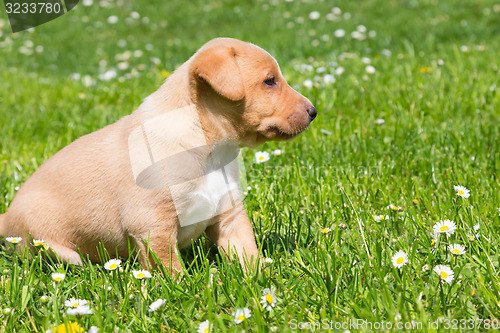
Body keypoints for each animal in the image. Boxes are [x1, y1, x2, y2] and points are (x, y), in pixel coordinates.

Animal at [0, 37, 316, 274]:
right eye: (269, 81)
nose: (314, 112)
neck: (208, 146)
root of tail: (6, 217)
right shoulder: (152, 223)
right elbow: (168, 265)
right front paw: (181, 290)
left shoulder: (229, 213)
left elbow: (246, 251)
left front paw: (262, 279)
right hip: (47, 241)